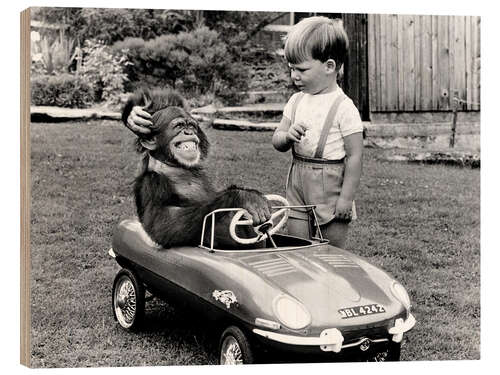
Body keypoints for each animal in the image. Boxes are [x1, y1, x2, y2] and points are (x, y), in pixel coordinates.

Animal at [121, 89, 272, 250]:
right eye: (179, 126)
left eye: (192, 126)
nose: (189, 132)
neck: (173, 165)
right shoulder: (152, 183)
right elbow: (163, 225)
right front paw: (245, 197)